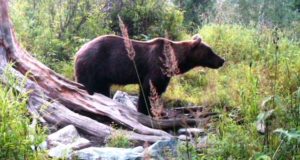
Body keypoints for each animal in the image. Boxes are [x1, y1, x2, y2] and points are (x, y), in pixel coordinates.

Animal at [75, 34, 225, 115]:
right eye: (210, 51)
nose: (222, 60)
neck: (174, 60)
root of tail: (79, 51)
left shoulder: (164, 74)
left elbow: (158, 89)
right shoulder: (155, 67)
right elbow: (149, 89)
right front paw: (147, 111)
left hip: (101, 75)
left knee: (102, 89)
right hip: (92, 66)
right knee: (88, 85)